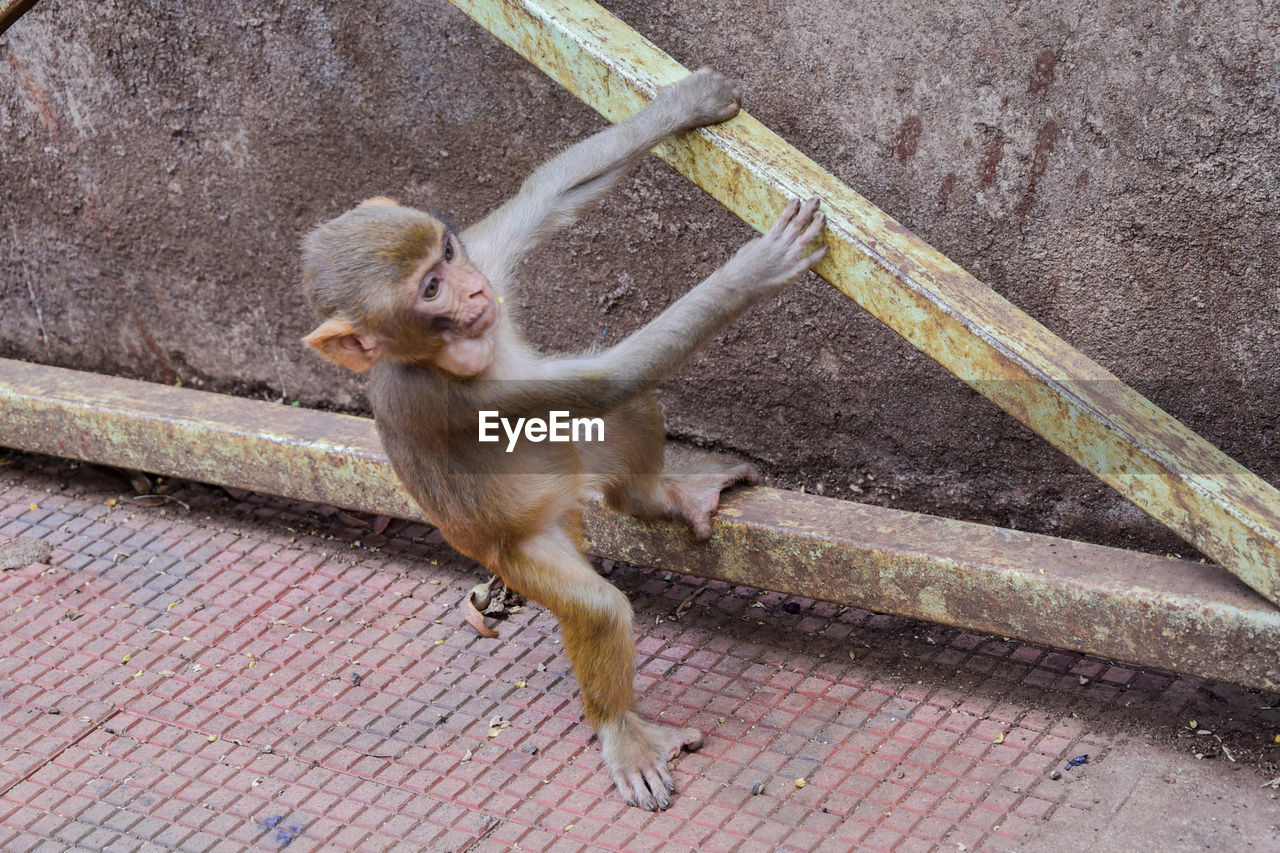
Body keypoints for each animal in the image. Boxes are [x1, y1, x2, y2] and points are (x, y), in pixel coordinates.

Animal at [296, 69, 819, 809]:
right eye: (430, 290)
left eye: (446, 254)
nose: (472, 293)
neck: (453, 350)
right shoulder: (449, 398)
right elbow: (610, 375)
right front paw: (753, 269)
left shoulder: (486, 255)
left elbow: (552, 196)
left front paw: (682, 104)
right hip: (523, 551)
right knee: (596, 605)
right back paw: (623, 731)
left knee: (617, 419)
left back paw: (656, 498)